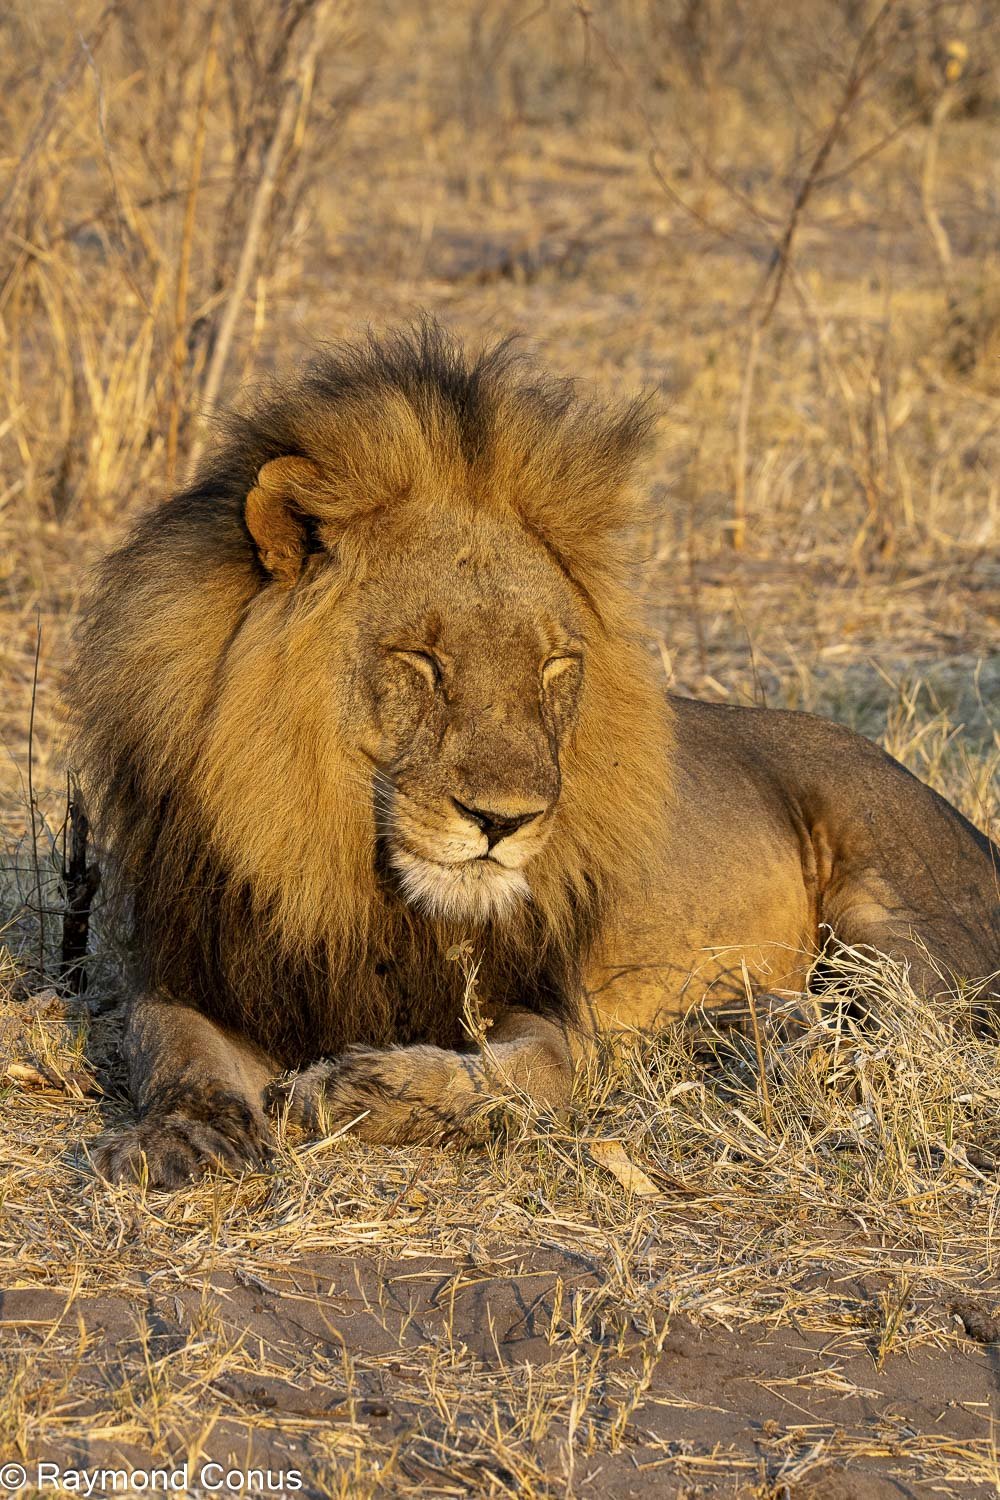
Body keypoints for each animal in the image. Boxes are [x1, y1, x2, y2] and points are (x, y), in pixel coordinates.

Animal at [70, 322, 999, 1189]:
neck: (363, 888)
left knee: (904, 1024)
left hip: (891, 915)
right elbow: (171, 1047)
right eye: (421, 661)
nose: (503, 822)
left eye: (553, 668)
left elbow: (525, 1071)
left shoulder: (542, 1000)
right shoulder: (200, 967)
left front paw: (363, 1088)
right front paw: (178, 1138)